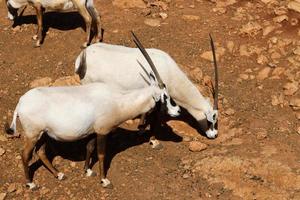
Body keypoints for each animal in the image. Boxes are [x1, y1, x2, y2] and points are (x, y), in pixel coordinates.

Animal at [4, 35, 180, 190]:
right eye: (165, 96)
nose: (177, 110)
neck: (118, 101)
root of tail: (21, 103)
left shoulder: (93, 131)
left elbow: (89, 148)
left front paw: (87, 170)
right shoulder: (103, 131)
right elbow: (102, 154)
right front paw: (105, 181)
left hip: (43, 134)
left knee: (40, 152)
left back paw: (59, 174)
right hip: (33, 134)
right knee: (25, 154)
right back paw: (31, 184)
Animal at [74, 32, 219, 148]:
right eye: (211, 120)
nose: (214, 135)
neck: (171, 73)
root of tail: (82, 57)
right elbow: (153, 117)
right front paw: (149, 137)